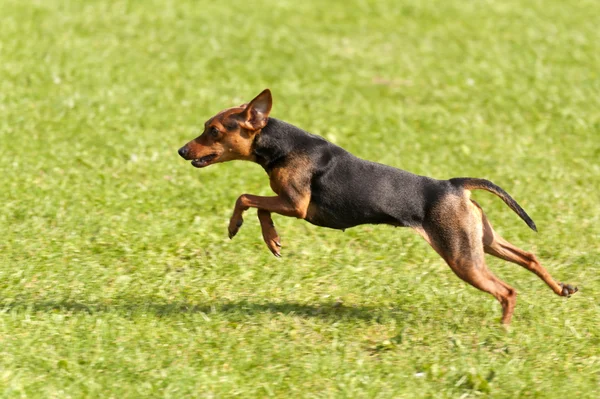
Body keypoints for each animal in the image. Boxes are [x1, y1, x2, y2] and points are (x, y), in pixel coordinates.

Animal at [178, 89, 576, 324]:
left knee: (507, 291)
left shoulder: (297, 205)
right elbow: (259, 205)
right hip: (482, 241)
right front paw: (272, 238)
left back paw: (503, 330)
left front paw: (243, 228)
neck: (282, 144)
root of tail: (453, 185)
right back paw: (561, 289)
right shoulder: (289, 205)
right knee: (529, 257)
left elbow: (247, 198)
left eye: (213, 131)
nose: (182, 150)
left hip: (462, 257)